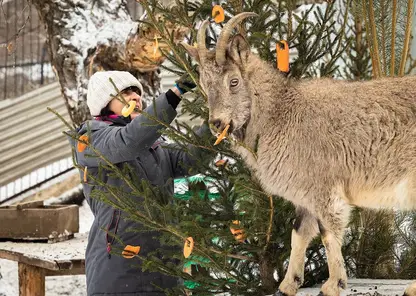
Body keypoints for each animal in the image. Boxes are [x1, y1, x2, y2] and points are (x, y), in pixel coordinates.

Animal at [184, 12, 416, 296]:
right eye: (204, 84)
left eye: (234, 81)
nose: (216, 123)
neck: (280, 113)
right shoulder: (304, 194)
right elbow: (298, 234)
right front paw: (288, 285)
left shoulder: (324, 188)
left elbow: (328, 233)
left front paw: (333, 285)